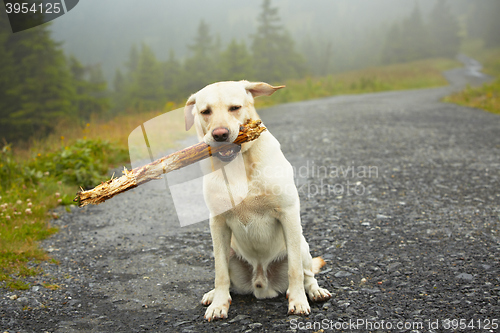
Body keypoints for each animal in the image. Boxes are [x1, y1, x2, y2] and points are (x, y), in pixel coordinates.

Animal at [184, 79, 332, 320]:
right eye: (205, 111)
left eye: (235, 108)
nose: (220, 134)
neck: (240, 162)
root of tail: (261, 285)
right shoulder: (217, 223)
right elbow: (220, 272)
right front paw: (218, 304)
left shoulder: (288, 213)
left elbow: (295, 271)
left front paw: (298, 301)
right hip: (230, 250)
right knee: (228, 277)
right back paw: (213, 294)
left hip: (301, 244)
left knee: (307, 273)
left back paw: (314, 291)